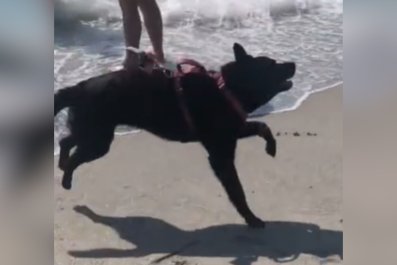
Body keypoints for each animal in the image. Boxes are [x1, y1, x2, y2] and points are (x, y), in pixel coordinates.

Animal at [54, 43, 294, 227]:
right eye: (271, 65)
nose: (293, 63)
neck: (226, 89)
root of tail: (79, 87)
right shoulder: (221, 154)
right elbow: (237, 191)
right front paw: (251, 218)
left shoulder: (233, 131)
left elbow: (263, 126)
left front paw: (271, 147)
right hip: (98, 140)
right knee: (74, 155)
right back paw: (66, 179)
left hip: (91, 131)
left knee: (65, 140)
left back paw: (62, 164)